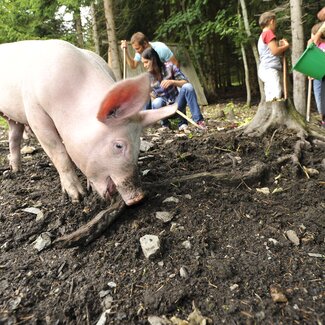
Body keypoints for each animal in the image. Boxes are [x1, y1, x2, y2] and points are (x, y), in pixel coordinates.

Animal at [0, 39, 177, 204]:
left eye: (139, 144)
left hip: (13, 119)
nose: (139, 197)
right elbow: (60, 154)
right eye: (118, 145)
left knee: (13, 137)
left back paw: (16, 170)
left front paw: (88, 188)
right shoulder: (35, 112)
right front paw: (78, 197)